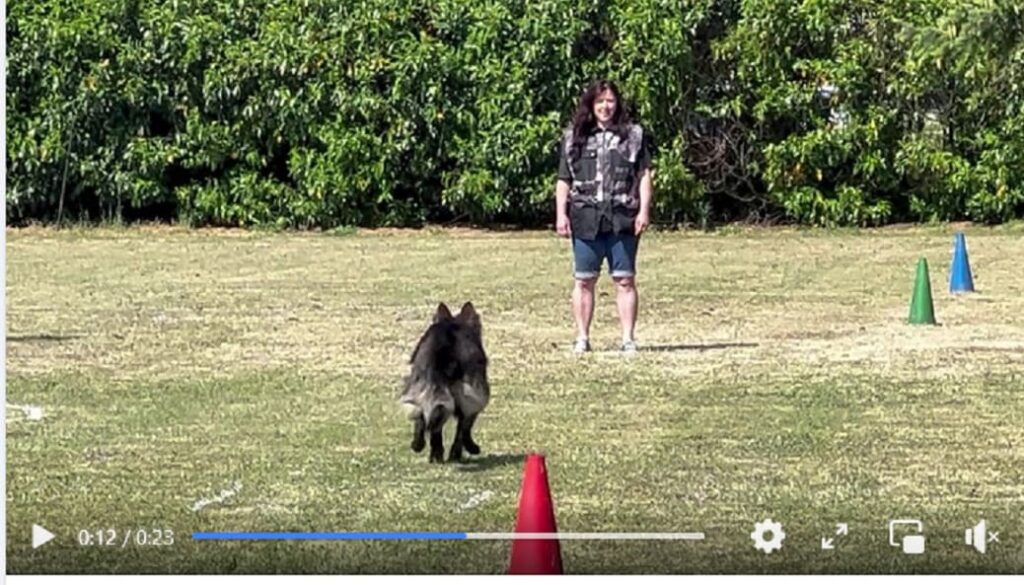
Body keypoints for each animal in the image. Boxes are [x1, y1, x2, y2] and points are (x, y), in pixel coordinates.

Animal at [399, 301, 491, 463]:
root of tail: (444, 342)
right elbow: (463, 429)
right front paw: (462, 451)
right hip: (473, 393)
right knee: (462, 427)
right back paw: (462, 451)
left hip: (421, 388)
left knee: (424, 417)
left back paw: (420, 446)